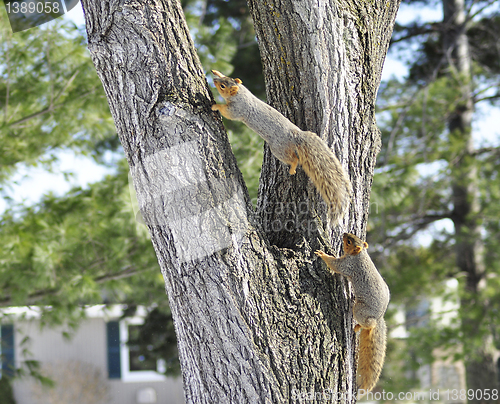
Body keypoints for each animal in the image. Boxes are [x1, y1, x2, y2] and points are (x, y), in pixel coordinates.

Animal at [210, 69, 352, 224]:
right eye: (224, 78)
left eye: (222, 86)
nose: (214, 80)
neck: (241, 93)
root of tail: (295, 135)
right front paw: (216, 71)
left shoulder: (238, 109)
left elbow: (228, 113)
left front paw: (216, 106)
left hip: (278, 148)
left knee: (294, 158)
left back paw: (292, 168)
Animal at [314, 232, 388, 392]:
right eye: (351, 237)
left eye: (348, 241)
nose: (344, 233)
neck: (360, 255)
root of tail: (379, 317)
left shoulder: (348, 265)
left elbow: (336, 265)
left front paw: (322, 254)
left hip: (360, 310)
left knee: (369, 324)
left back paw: (358, 326)